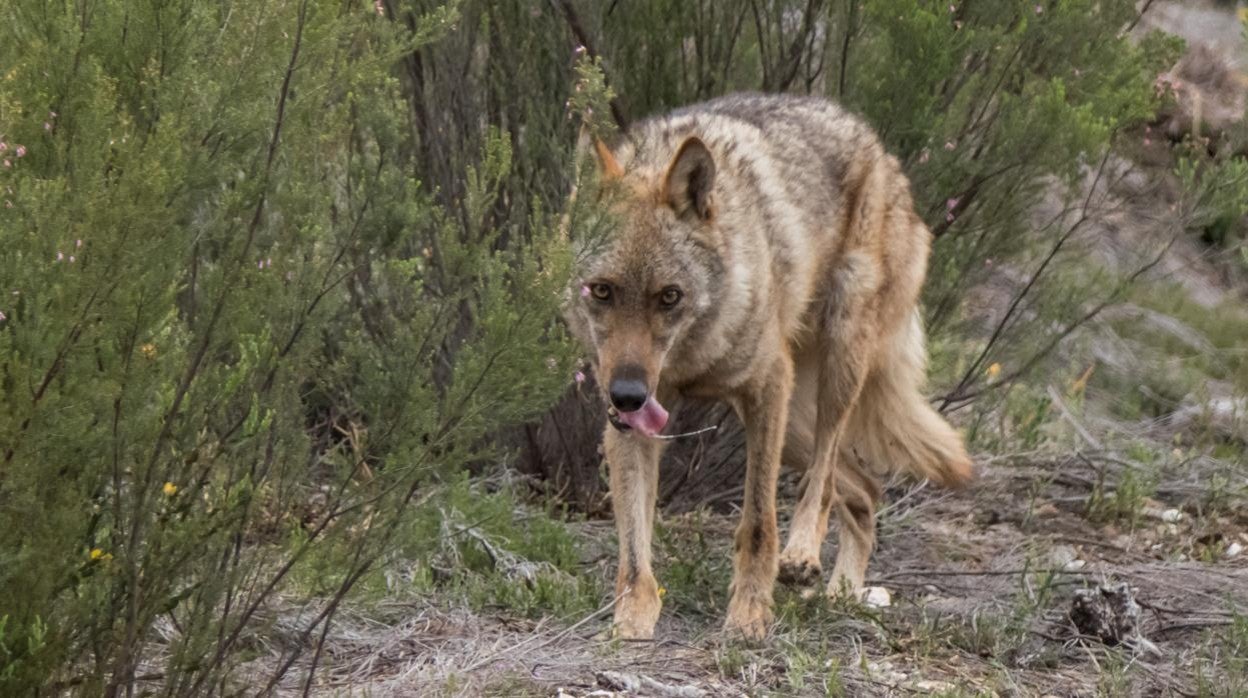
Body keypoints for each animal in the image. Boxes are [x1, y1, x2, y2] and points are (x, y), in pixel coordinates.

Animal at [566, 94, 973, 644]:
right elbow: (633, 542)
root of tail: (882, 152)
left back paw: (802, 555)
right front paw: (632, 618)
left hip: (834, 371)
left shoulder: (765, 388)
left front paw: (749, 615)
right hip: (795, 426)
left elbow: (758, 521)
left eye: (669, 297)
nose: (627, 394)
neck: (692, 356)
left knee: (822, 481)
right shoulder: (632, 424)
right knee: (865, 490)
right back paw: (843, 594)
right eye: (601, 291)